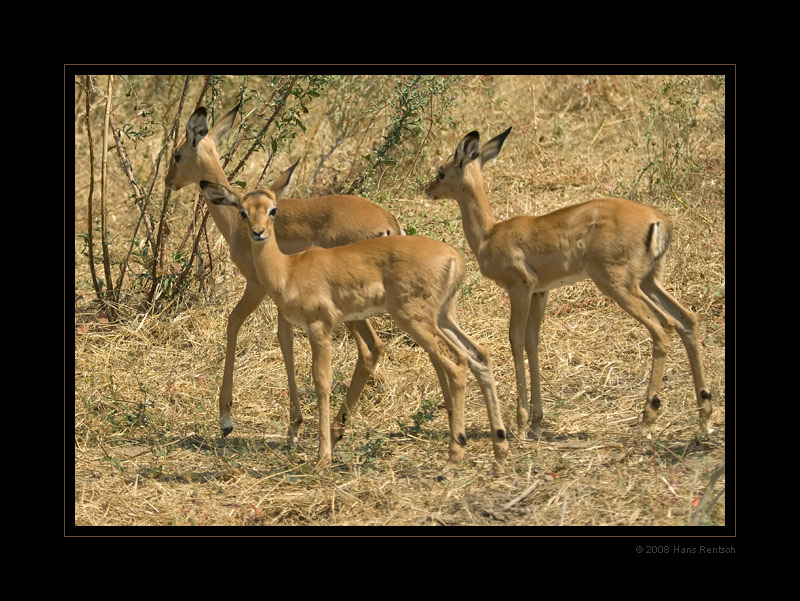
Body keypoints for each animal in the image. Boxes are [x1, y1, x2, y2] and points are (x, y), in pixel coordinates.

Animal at [165, 105, 404, 446]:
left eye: (177, 153)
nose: (169, 181)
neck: (237, 218)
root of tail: (389, 222)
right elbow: (285, 339)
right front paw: (294, 425)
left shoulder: (257, 287)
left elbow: (236, 325)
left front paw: (227, 419)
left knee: (372, 348)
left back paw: (336, 429)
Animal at [203, 171, 510, 476]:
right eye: (243, 211)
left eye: (273, 210)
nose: (258, 233)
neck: (288, 270)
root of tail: (454, 257)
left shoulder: (320, 327)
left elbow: (322, 382)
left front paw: (321, 458)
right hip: (443, 318)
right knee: (477, 356)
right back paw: (498, 451)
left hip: (415, 320)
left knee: (455, 364)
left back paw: (452, 460)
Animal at [424, 127, 712, 436]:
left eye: (442, 170)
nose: (428, 188)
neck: (490, 235)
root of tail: (658, 221)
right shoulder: (541, 292)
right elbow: (532, 340)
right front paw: (537, 421)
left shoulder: (520, 288)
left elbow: (515, 339)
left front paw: (522, 423)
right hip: (649, 281)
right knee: (686, 319)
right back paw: (704, 417)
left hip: (619, 284)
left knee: (662, 326)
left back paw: (648, 417)